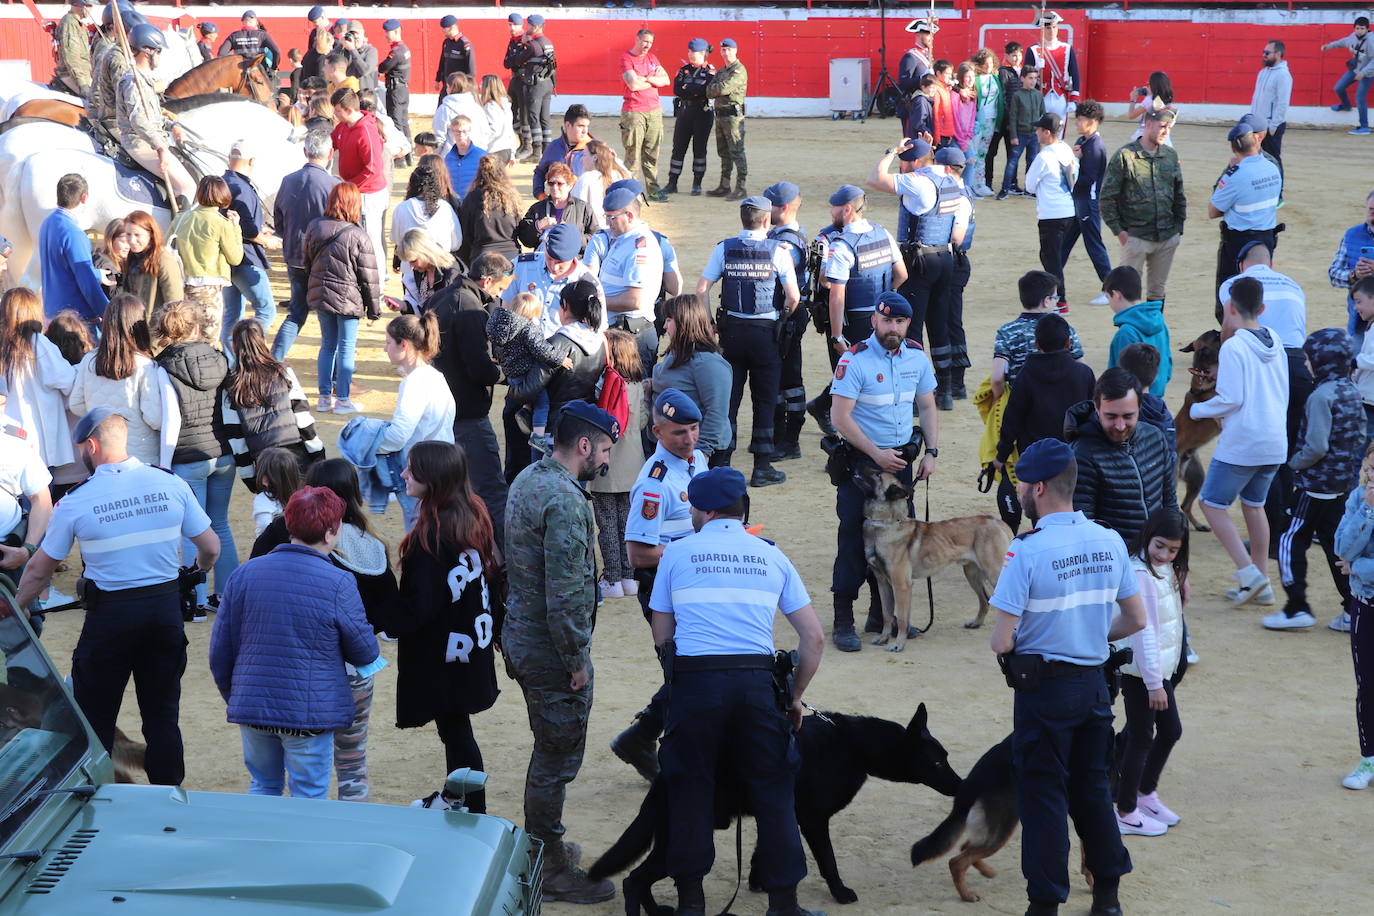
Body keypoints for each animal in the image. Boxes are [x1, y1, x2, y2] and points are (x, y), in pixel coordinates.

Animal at [593, 703, 967, 911]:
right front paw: (840, 892)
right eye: (936, 763)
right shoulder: (814, 820)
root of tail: (664, 777)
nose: (962, 786)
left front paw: (759, 882)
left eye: (947, 758)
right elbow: (828, 861)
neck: (853, 745)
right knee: (634, 881)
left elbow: (762, 851)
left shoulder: (776, 811)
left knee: (639, 880)